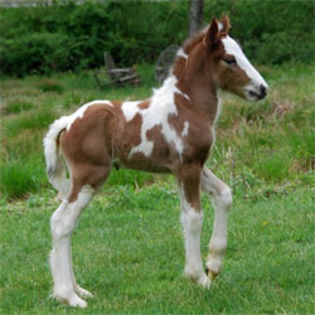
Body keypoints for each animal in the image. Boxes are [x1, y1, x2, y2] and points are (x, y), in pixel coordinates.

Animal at [44, 15, 270, 308]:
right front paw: (199, 277)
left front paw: (214, 265)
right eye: (229, 58)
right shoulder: (187, 168)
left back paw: (78, 290)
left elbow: (224, 195)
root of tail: (69, 121)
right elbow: (193, 217)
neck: (187, 105)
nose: (262, 89)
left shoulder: (193, 165)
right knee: (61, 222)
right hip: (90, 176)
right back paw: (69, 297)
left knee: (67, 225)